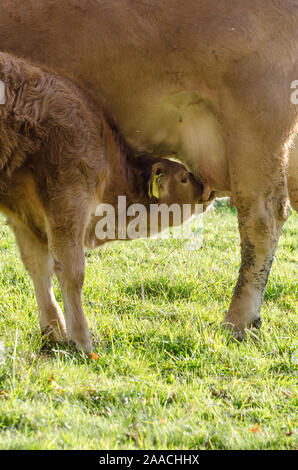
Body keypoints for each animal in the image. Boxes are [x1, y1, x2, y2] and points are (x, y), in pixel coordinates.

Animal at [0, 0, 296, 342]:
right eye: (184, 177)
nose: (204, 190)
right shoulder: (28, 204)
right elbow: (38, 261)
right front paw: (53, 329)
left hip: (256, 122)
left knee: (262, 220)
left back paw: (237, 320)